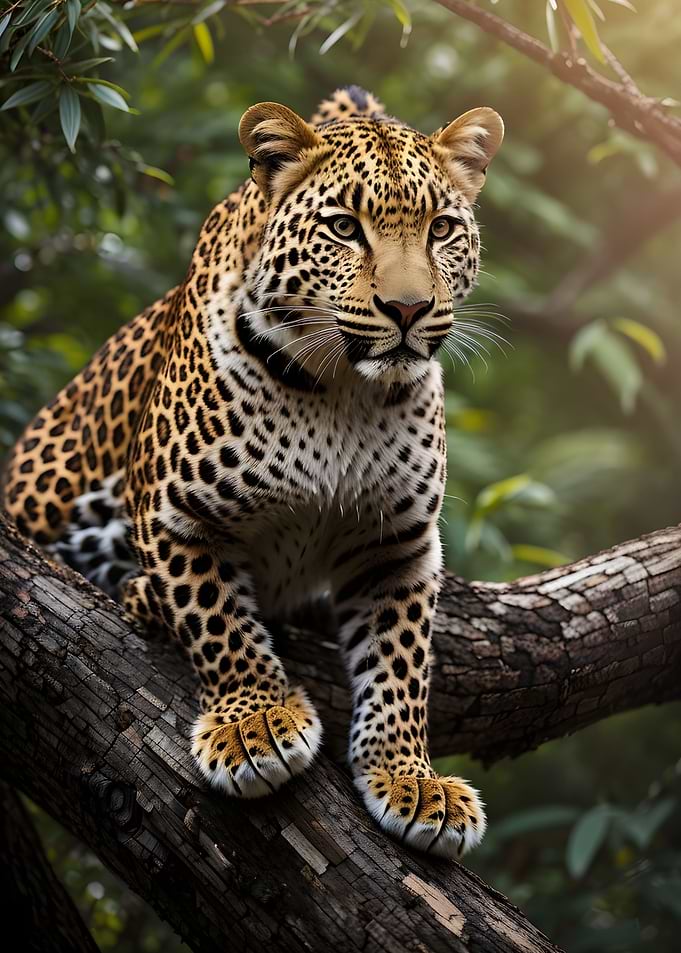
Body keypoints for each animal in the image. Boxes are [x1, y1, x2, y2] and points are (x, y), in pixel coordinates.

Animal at [2, 86, 504, 858]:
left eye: (442, 228)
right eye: (343, 227)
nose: (408, 308)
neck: (341, 393)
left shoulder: (397, 545)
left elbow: (401, 662)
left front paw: (409, 777)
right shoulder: (178, 513)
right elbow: (217, 620)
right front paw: (255, 724)